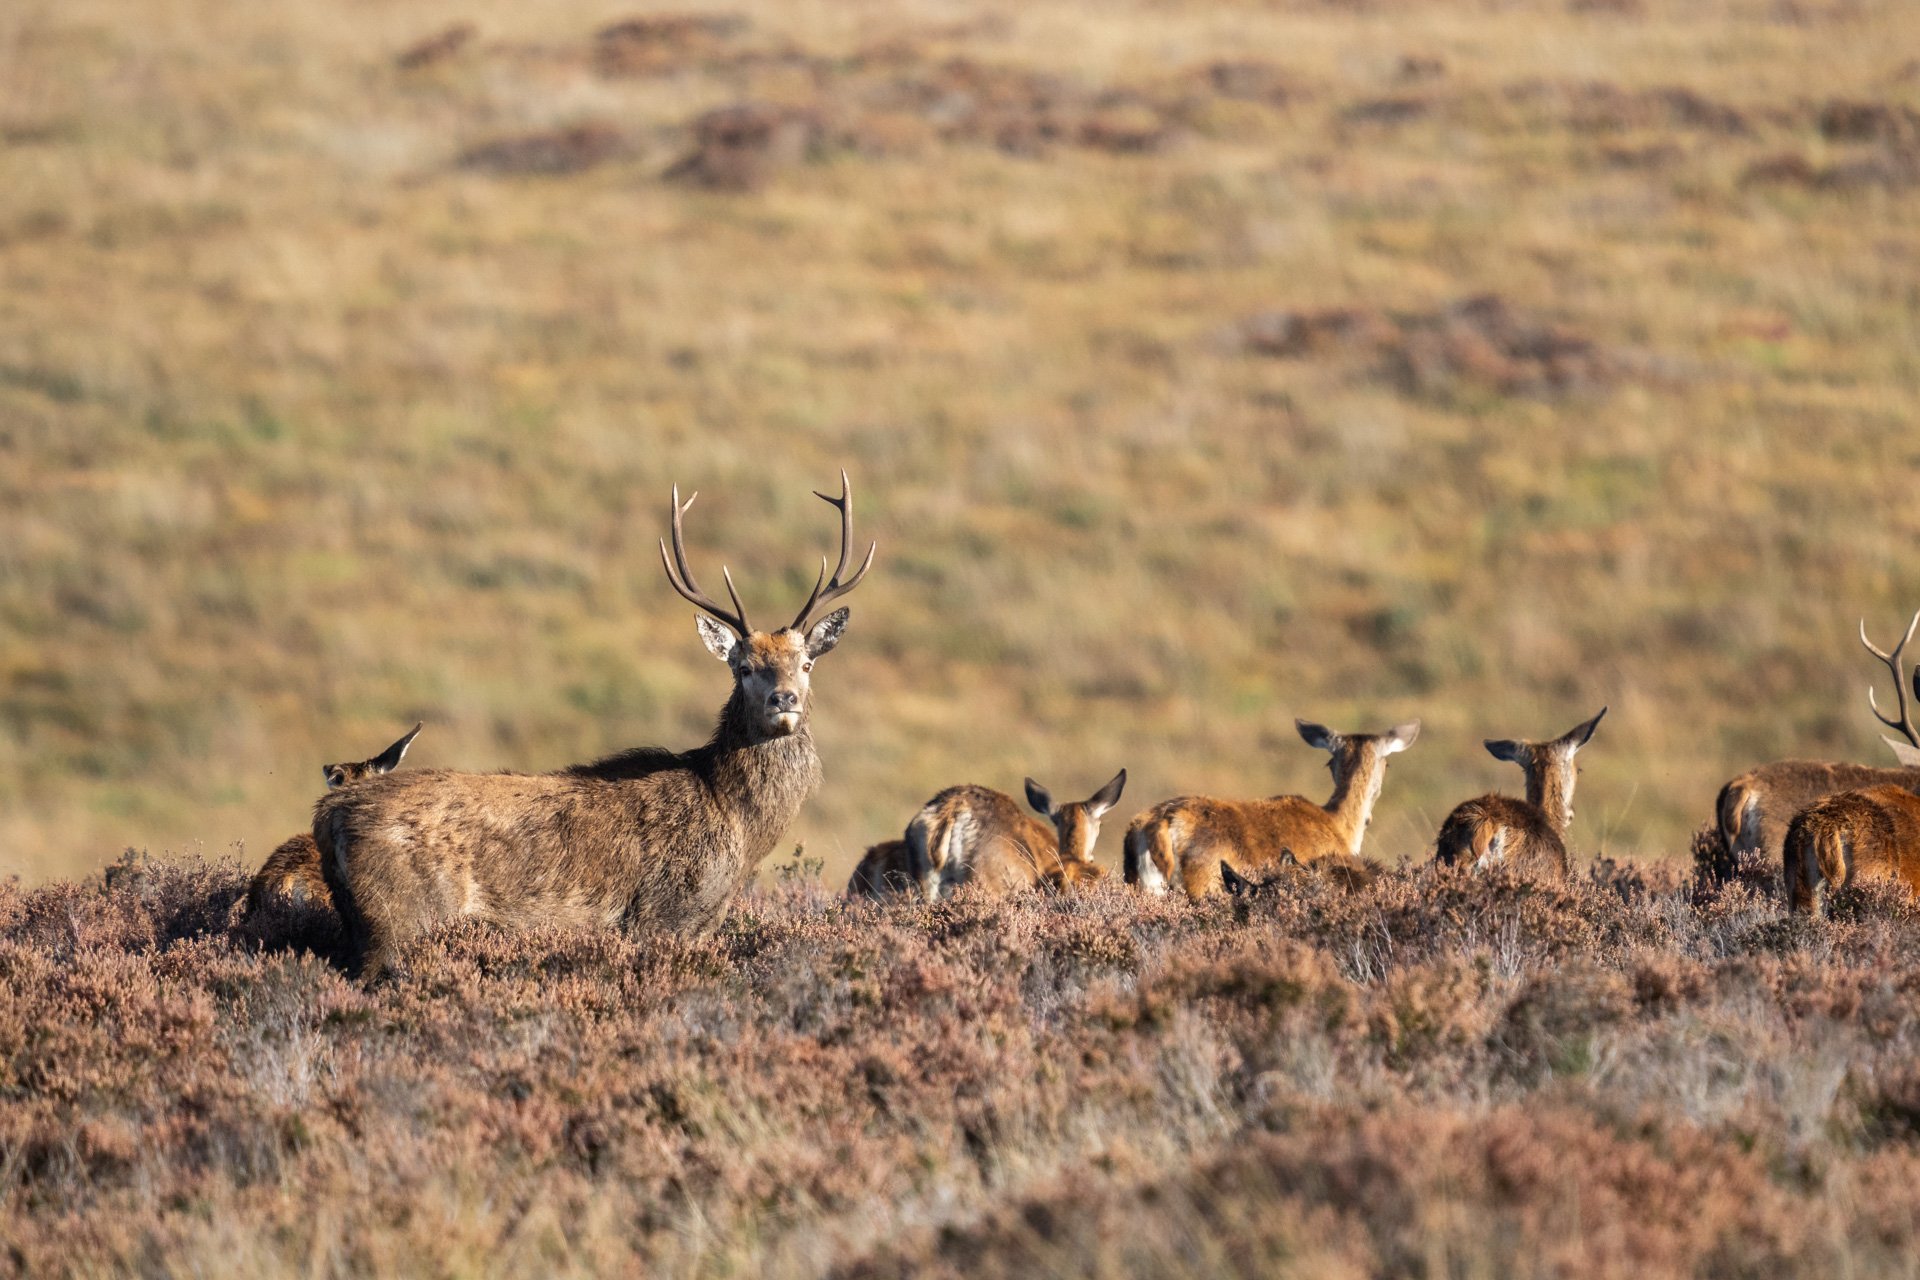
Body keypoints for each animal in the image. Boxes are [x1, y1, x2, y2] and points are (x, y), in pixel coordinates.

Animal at [314, 473, 874, 979]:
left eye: (806, 663)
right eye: (743, 667)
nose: (785, 699)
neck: (736, 827)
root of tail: (329, 815)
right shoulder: (659, 915)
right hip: (401, 919)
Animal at [1123, 718, 1420, 898]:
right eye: (1388, 763)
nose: (1369, 818)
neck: (1341, 827)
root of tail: (1158, 824)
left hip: (1140, 881)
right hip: (1206, 881)